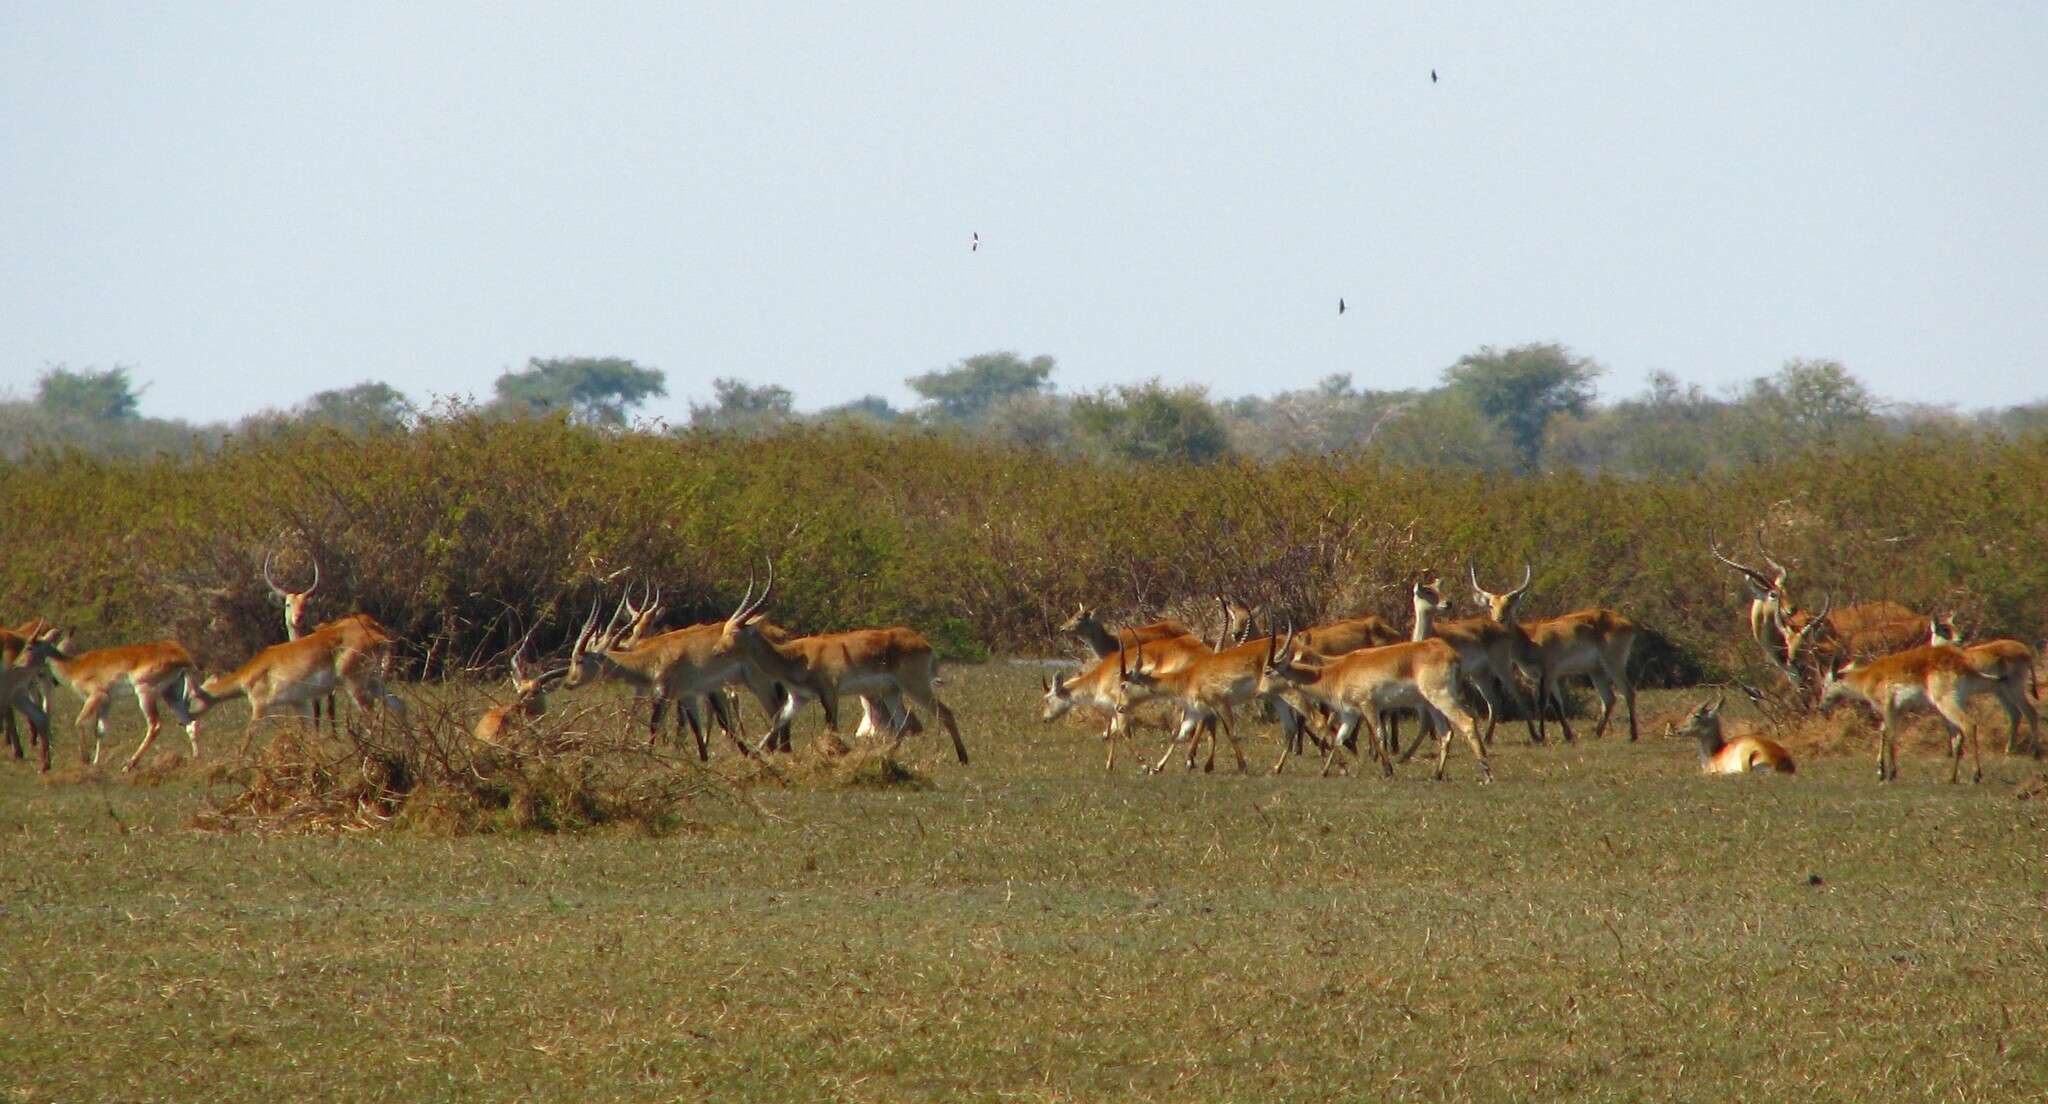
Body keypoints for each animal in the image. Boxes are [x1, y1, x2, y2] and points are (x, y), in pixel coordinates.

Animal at [1245, 630, 1490, 786]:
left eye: (1268, 670)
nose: (1257, 692)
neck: (1337, 672)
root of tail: (1448, 651)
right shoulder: (1350, 714)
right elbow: (1339, 739)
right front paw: (1325, 771)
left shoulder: (1368, 705)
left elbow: (1379, 735)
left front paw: (1388, 772)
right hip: (1432, 704)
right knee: (1446, 733)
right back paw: (1437, 775)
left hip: (1441, 697)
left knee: (1467, 722)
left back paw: (1486, 774)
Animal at [1474, 561, 1646, 741]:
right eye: (1491, 605)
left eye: (1509, 605)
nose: (1499, 620)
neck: (1529, 638)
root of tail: (1628, 623)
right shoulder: (1542, 677)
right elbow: (1557, 704)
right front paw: (1567, 734)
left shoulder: (1548, 671)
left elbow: (1542, 702)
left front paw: (1542, 735)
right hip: (1596, 670)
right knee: (1609, 699)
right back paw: (1597, 733)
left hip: (1613, 664)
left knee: (1628, 692)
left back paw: (1633, 735)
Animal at [1818, 643, 2007, 782]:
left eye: (1825, 684)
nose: (1820, 707)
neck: (1867, 677)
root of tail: (1964, 664)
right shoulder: (1899, 710)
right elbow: (1884, 731)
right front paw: (1881, 770)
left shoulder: (1889, 707)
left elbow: (1890, 735)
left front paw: (1891, 773)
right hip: (1951, 705)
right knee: (1957, 737)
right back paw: (1952, 778)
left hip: (1946, 703)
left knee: (1969, 725)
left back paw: (1976, 775)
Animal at [1925, 618, 2039, 757]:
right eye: (1944, 628)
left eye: (1954, 625)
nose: (1961, 638)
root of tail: (2025, 650)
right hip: (2001, 692)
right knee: (2015, 714)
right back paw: (2008, 750)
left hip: (2015, 689)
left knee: (2031, 712)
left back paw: (2034, 752)